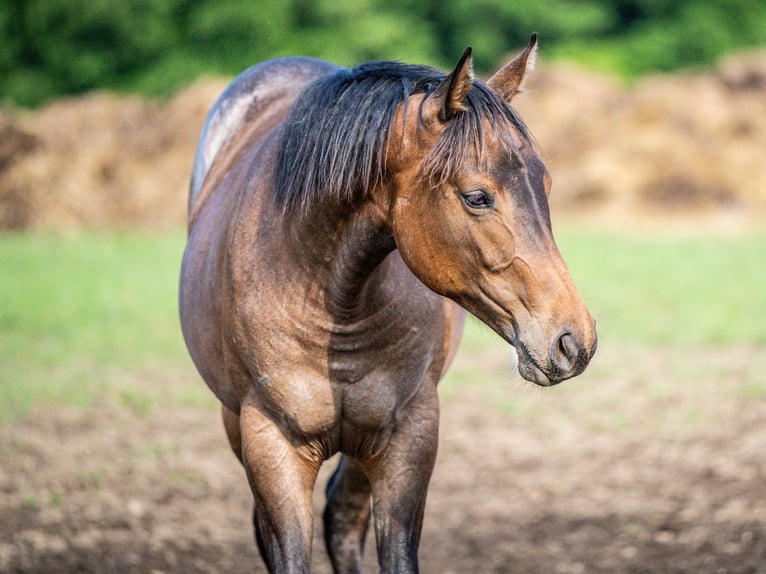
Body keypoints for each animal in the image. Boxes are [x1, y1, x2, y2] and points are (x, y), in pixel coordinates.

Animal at [182, 36, 600, 574]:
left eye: (545, 186)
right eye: (477, 197)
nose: (573, 340)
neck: (336, 304)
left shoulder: (408, 437)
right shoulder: (271, 443)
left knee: (341, 516)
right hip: (236, 423)